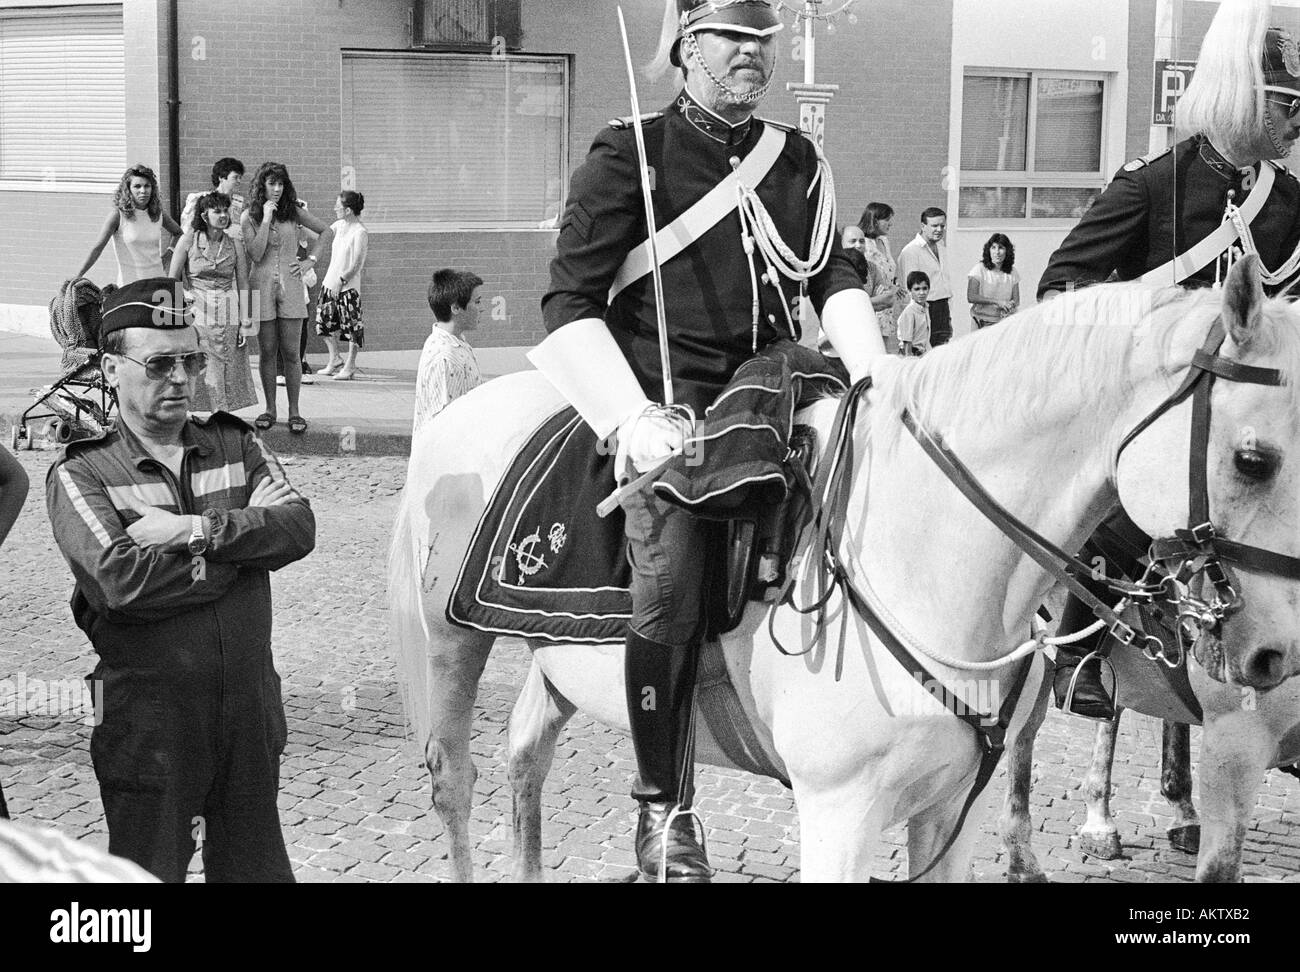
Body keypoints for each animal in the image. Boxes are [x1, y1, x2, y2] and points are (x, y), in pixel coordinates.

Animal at [390, 258, 1300, 878]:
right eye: (1253, 459)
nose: (1275, 655)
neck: (926, 558)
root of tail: (457, 415)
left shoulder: (953, 812)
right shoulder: (839, 814)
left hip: (559, 666)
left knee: (526, 760)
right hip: (451, 645)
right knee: (455, 781)